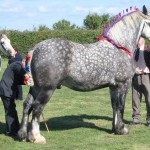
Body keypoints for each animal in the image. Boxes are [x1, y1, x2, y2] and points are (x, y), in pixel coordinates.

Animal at [0, 5, 150, 144]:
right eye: (149, 22)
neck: (119, 46)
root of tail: (35, 48)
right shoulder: (123, 84)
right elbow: (121, 106)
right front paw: (122, 129)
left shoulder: (113, 86)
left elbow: (114, 106)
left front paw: (114, 129)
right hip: (47, 89)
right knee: (37, 107)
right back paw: (37, 137)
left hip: (36, 87)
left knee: (27, 105)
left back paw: (22, 134)